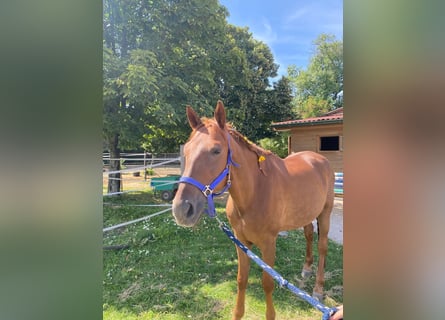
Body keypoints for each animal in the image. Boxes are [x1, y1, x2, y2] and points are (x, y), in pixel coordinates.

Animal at [172, 101, 332, 320]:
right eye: (186, 151)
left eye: (216, 150)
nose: (182, 209)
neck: (254, 192)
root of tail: (319, 159)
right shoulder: (240, 241)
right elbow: (242, 279)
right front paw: (237, 313)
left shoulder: (268, 243)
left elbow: (267, 283)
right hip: (306, 213)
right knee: (308, 235)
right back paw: (306, 269)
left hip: (325, 213)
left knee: (322, 246)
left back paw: (317, 289)